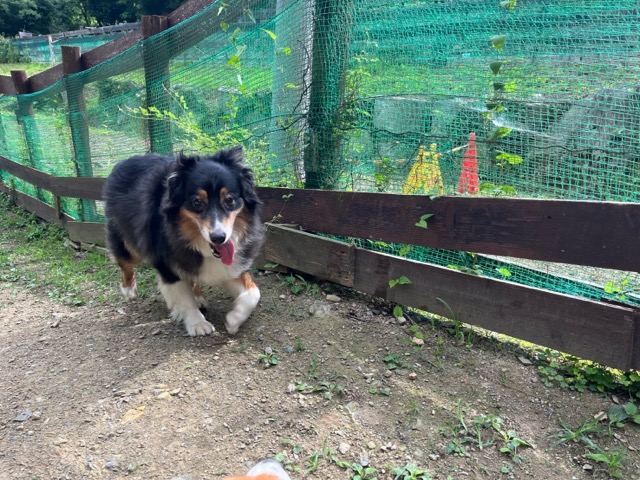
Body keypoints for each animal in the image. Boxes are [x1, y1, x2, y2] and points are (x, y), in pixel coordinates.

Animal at [103, 146, 264, 336]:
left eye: (230, 200)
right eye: (197, 201)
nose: (219, 238)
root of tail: (124, 161)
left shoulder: (233, 265)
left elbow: (254, 293)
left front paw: (233, 320)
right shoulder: (167, 263)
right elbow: (184, 299)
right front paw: (197, 324)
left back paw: (198, 297)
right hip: (126, 239)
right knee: (125, 262)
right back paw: (128, 289)